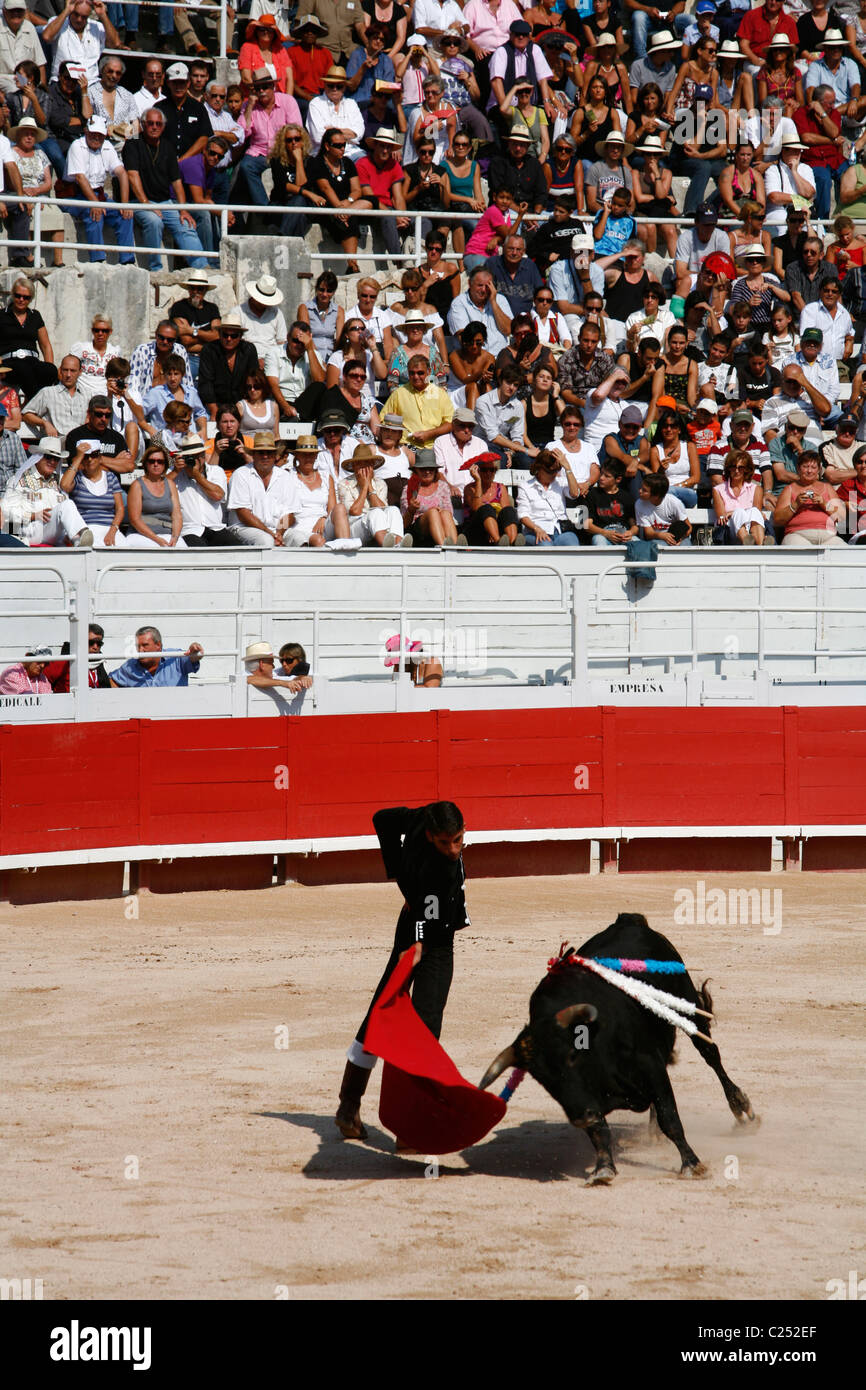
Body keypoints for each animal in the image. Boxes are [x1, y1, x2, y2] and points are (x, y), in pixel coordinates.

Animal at [478, 911, 756, 1184]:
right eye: (541, 1079)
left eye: (573, 1055)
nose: (580, 1117)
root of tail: (629, 920)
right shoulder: (588, 1099)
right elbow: (599, 1129)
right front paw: (604, 1168)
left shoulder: (649, 1064)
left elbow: (670, 1117)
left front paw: (692, 1164)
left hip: (688, 1007)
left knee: (711, 1055)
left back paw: (741, 1108)